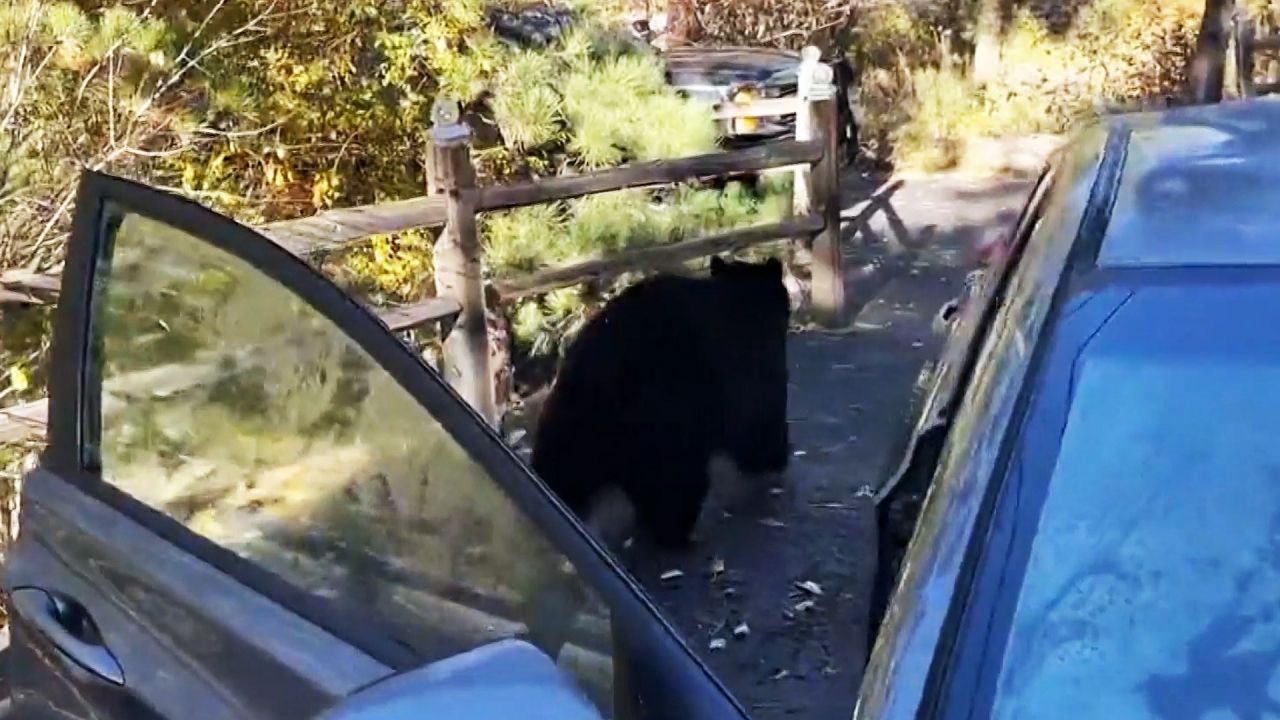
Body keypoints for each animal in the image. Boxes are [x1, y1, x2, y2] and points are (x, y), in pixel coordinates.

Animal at [530, 256, 792, 549]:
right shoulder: (743, 359)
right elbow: (758, 409)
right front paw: (775, 456)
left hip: (569, 428)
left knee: (562, 473)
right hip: (664, 421)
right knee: (677, 482)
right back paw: (679, 534)